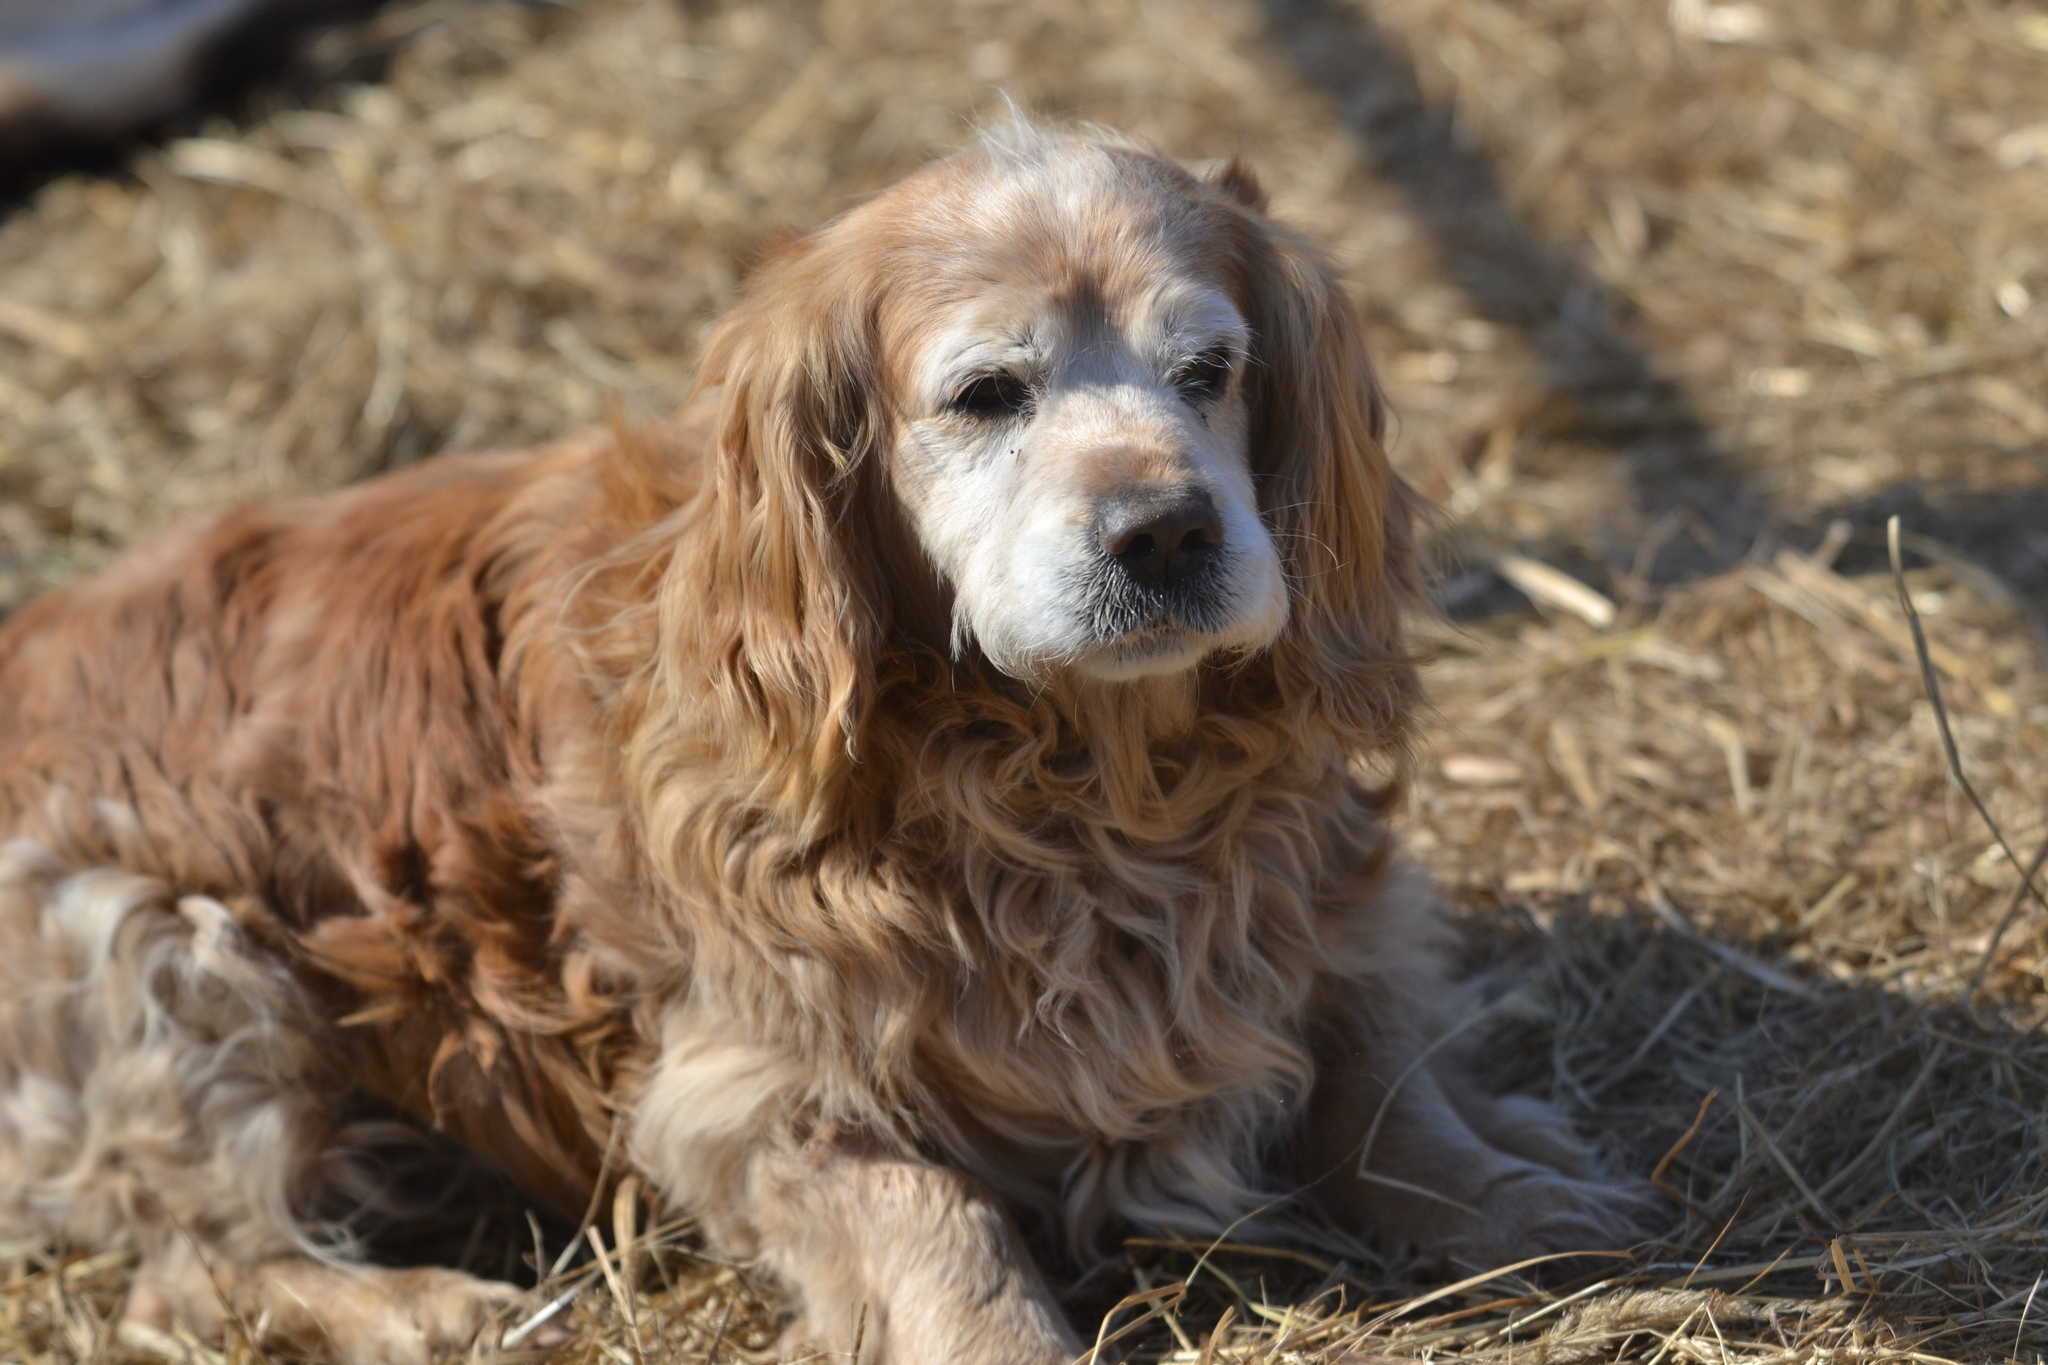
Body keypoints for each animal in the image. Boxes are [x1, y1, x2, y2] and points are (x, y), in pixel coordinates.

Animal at [0, 122, 1662, 1358]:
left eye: (1214, 370)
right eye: (986, 394)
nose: (1168, 530)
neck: (1086, 792)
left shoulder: (1326, 925)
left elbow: (1386, 1093)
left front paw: (1523, 1194)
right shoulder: (747, 1092)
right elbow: (943, 1227)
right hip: (162, 953)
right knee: (188, 1269)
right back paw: (428, 1308)